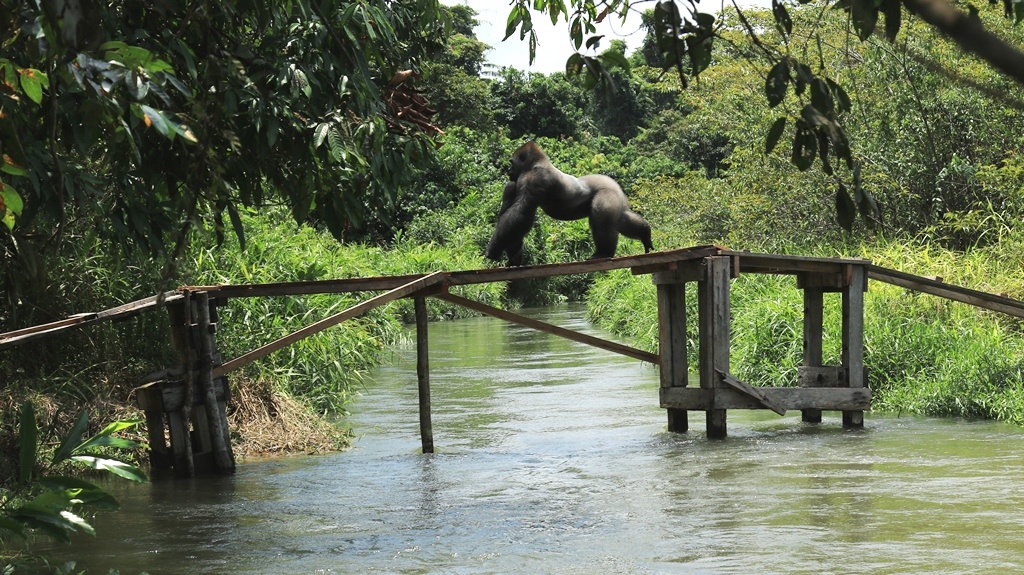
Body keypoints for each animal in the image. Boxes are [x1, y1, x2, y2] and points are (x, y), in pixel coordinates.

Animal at [483, 140, 651, 266]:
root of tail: (614, 184)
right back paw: (644, 233)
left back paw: (604, 252)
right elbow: (511, 220)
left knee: (602, 220)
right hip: (616, 197)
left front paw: (494, 249)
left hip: (607, 192)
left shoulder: (534, 178)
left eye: (512, 162)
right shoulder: (513, 184)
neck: (535, 164)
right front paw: (514, 257)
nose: (509, 171)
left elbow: (520, 212)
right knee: (620, 219)